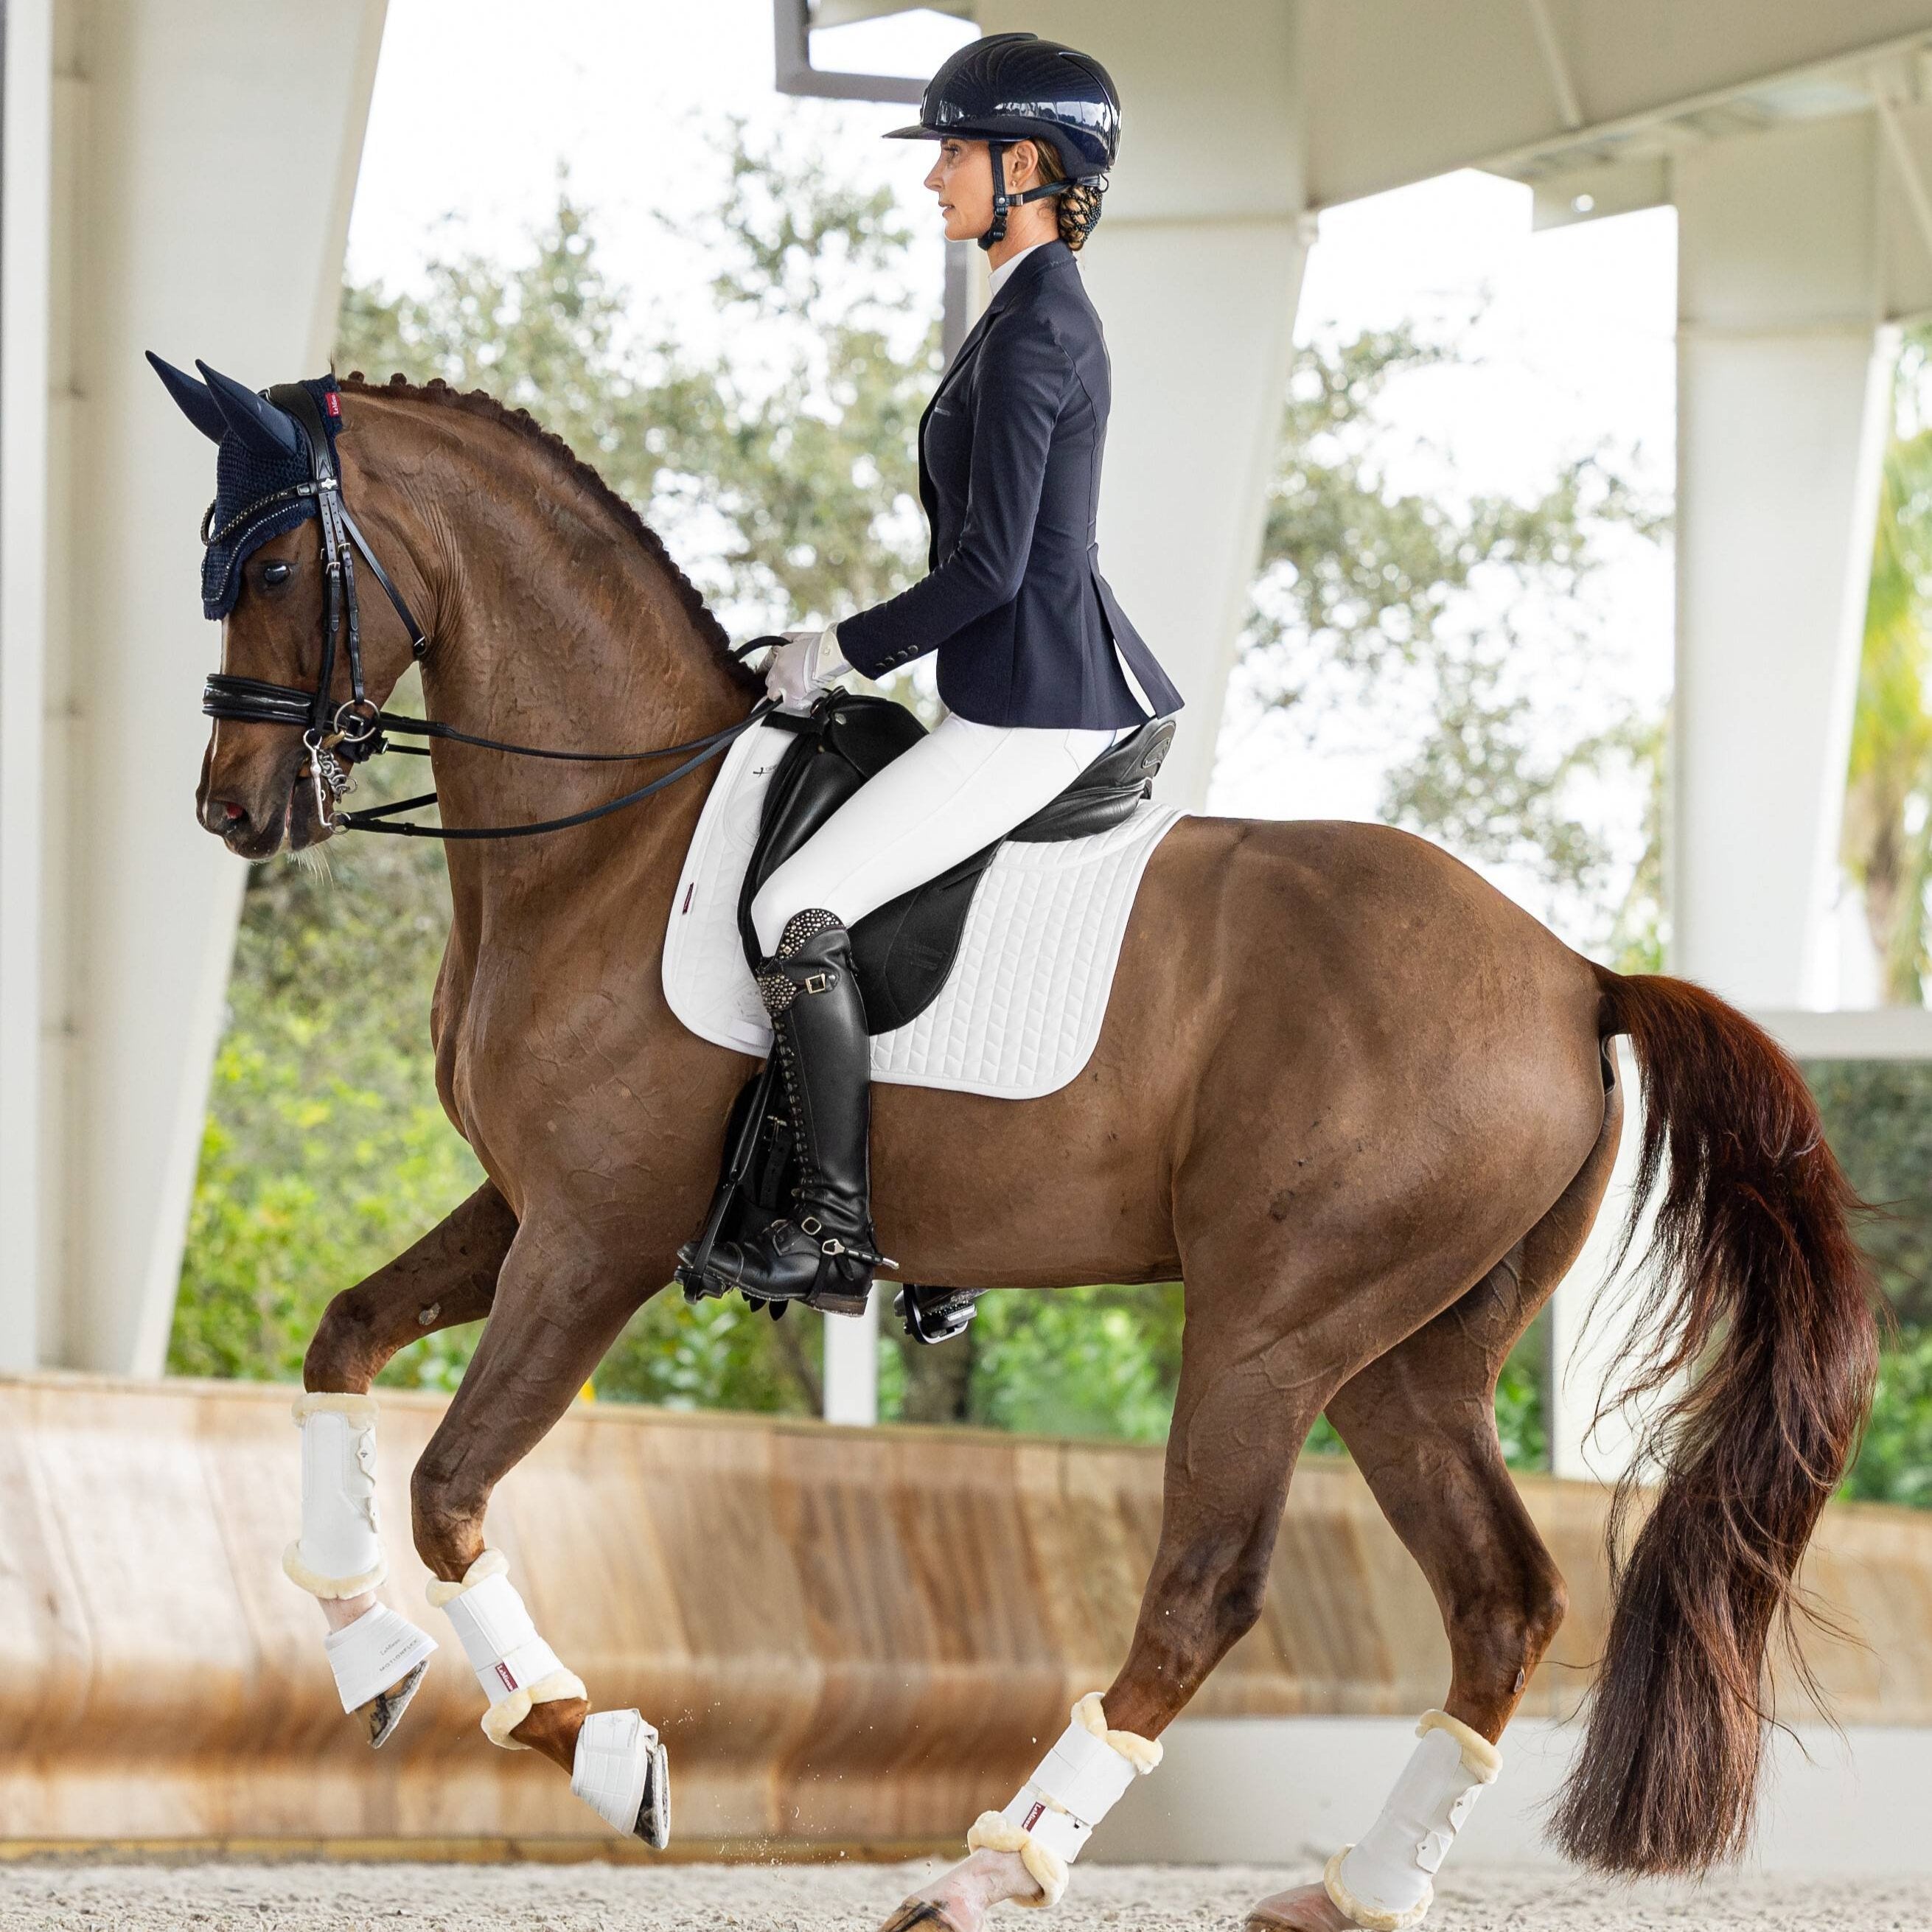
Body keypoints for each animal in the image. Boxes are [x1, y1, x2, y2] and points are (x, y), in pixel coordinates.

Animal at [182, 369, 1876, 1931]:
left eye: (268, 570)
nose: (233, 810)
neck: (613, 833)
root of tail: (1571, 971)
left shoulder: (595, 1239)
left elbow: (450, 1485)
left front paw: (594, 1744)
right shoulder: (528, 1204)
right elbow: (341, 1340)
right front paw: (367, 1649)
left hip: (1274, 1324)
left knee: (1206, 1586)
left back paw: (992, 1866)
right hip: (1413, 1355)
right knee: (1501, 1598)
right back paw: (1358, 1888)